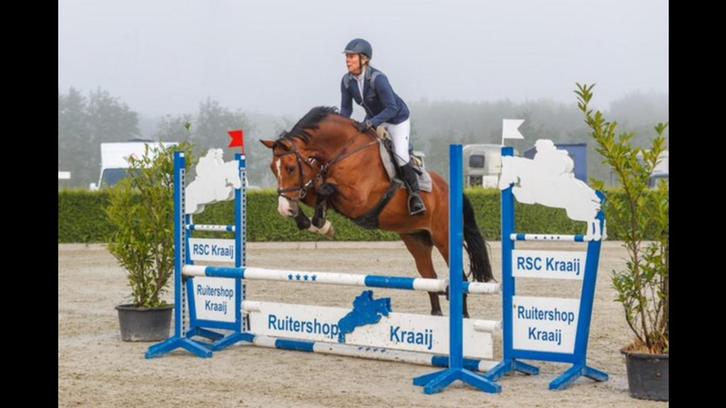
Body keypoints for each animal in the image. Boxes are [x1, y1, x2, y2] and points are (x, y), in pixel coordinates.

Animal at [260, 106, 494, 317]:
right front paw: (310, 221)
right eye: (273, 168)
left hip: (444, 238)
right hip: (416, 239)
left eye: (290, 167)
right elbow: (314, 192)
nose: (283, 207)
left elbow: (324, 189)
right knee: (429, 277)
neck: (345, 150)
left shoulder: (357, 200)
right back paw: (436, 316)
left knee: (460, 277)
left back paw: (463, 317)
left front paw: (320, 222)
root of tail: (450, 189)